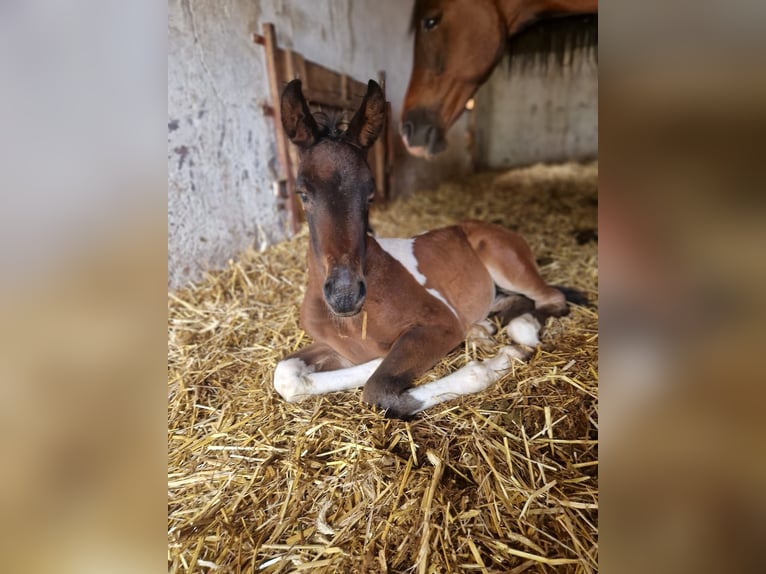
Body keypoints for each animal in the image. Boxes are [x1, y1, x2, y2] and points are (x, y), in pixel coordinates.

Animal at [273, 78, 577, 419]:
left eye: (371, 193)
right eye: (302, 192)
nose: (345, 294)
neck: (352, 320)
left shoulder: (439, 324)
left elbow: (380, 388)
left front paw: (501, 359)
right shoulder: (337, 347)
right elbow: (286, 374)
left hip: (509, 267)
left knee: (551, 299)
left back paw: (517, 330)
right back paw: (483, 327)